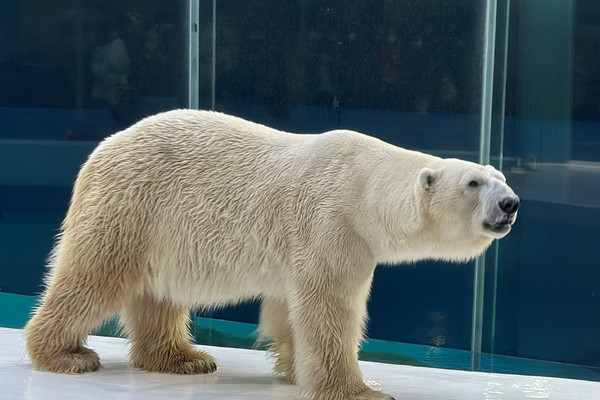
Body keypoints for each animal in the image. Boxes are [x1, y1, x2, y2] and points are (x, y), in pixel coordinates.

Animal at [25, 109, 516, 400]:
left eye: (502, 177)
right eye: (473, 183)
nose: (510, 204)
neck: (362, 185)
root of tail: (98, 152)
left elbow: (289, 307)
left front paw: (292, 366)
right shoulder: (332, 223)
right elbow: (329, 309)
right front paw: (360, 390)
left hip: (159, 233)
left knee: (158, 296)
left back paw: (184, 358)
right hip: (131, 207)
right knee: (92, 276)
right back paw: (65, 354)